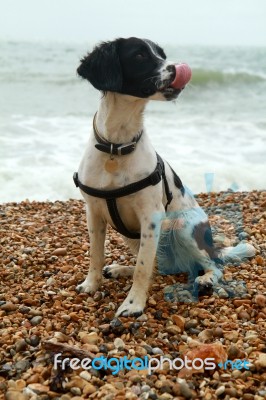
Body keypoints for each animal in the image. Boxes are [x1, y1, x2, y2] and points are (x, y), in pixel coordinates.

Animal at [73, 38, 256, 318]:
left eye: (162, 54)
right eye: (139, 55)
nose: (178, 68)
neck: (117, 145)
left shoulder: (151, 217)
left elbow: (142, 268)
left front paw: (133, 304)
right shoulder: (93, 213)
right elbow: (97, 255)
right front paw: (92, 284)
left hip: (184, 228)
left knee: (212, 264)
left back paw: (206, 280)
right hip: (131, 235)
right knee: (157, 266)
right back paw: (120, 269)